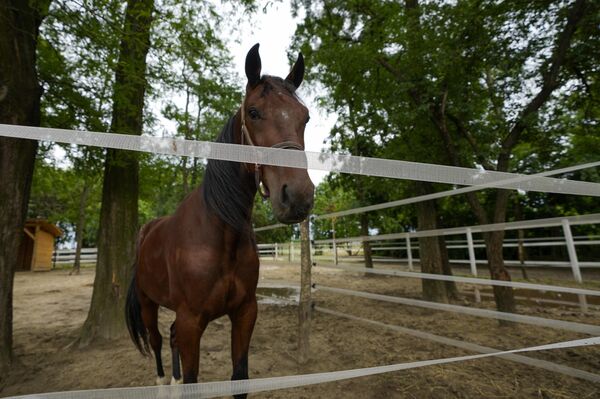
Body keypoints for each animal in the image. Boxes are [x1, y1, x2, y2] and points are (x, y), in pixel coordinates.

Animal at [125, 44, 316, 396]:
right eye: (253, 112)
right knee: (157, 341)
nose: (297, 197)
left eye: (305, 117)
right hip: (147, 303)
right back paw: (162, 383)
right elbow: (192, 379)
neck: (220, 234)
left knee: (169, 338)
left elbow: (239, 378)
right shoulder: (191, 321)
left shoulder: (244, 313)